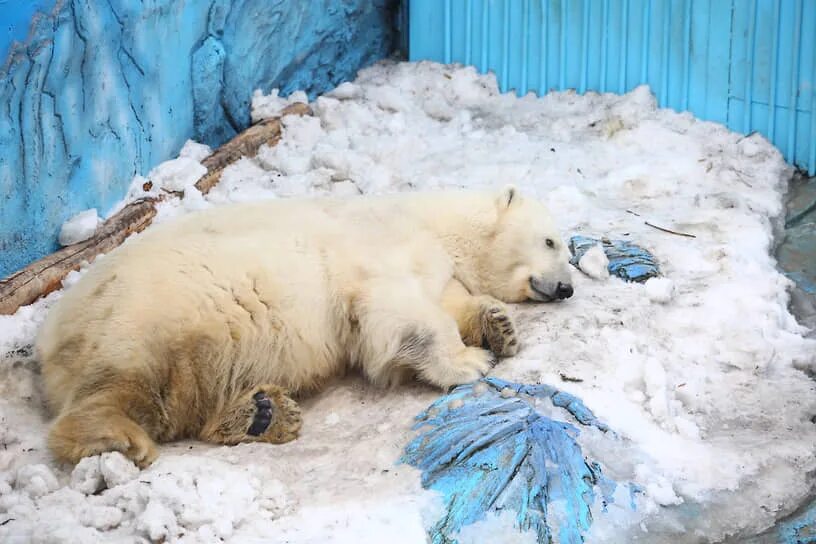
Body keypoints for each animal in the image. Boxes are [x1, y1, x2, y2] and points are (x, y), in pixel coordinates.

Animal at [38, 187, 572, 468]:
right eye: (552, 241)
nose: (567, 286)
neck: (427, 218)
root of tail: (48, 343)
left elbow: (449, 298)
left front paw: (498, 327)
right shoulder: (381, 248)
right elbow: (397, 310)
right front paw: (468, 361)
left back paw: (264, 413)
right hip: (145, 316)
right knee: (129, 382)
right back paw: (117, 437)